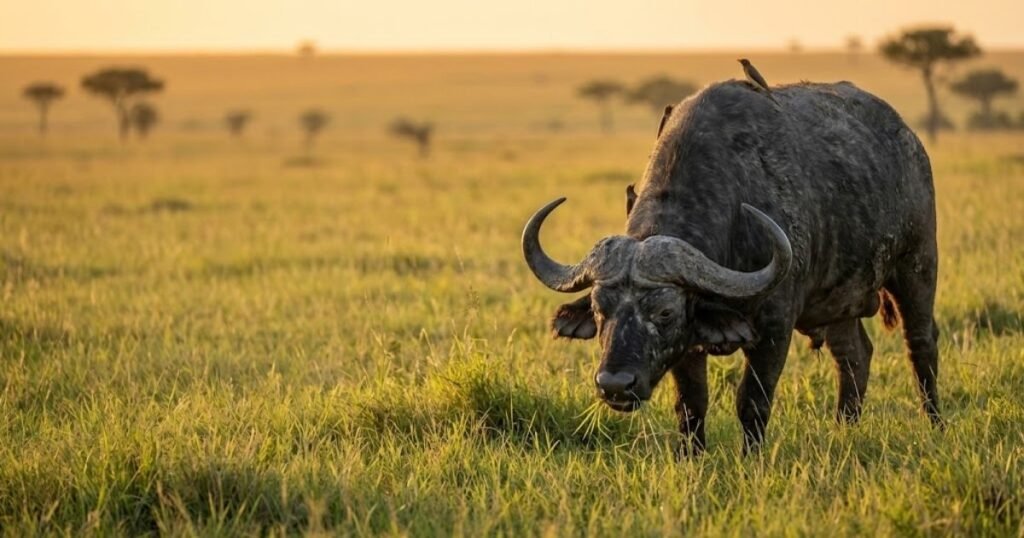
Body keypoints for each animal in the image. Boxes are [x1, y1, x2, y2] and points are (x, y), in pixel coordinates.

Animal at [522, 80, 941, 453]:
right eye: (598, 308)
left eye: (665, 313)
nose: (614, 385)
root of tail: (908, 139)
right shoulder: (689, 346)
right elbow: (690, 405)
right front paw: (691, 458)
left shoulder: (774, 329)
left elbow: (752, 401)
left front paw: (751, 458)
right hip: (838, 302)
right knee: (854, 355)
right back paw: (844, 428)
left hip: (918, 267)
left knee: (921, 344)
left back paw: (934, 423)